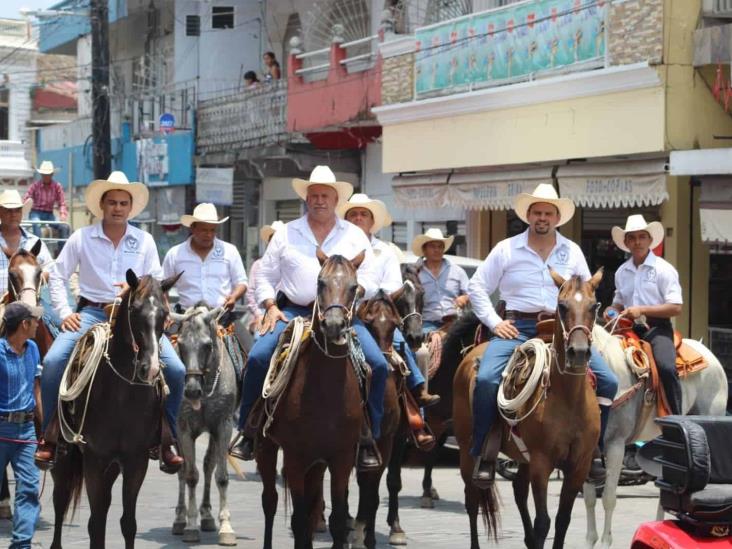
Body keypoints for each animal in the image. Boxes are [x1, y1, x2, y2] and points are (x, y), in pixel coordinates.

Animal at [50, 270, 180, 548]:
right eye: (134, 309)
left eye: (165, 312)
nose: (150, 368)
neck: (122, 394)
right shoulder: (94, 459)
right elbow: (97, 523)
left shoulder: (135, 460)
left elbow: (127, 523)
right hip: (64, 458)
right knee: (60, 502)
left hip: (111, 466)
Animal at [170, 304, 239, 544]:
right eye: (181, 345)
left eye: (207, 345)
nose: (191, 390)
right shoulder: (183, 428)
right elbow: (190, 475)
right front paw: (190, 526)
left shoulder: (223, 425)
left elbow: (221, 476)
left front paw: (226, 526)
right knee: (182, 471)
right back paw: (180, 519)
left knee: (209, 464)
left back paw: (208, 515)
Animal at [258, 252, 366, 548]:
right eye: (320, 282)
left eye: (354, 287)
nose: (334, 325)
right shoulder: (295, 457)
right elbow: (298, 521)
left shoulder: (341, 458)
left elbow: (336, 521)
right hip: (266, 448)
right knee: (270, 502)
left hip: (317, 463)